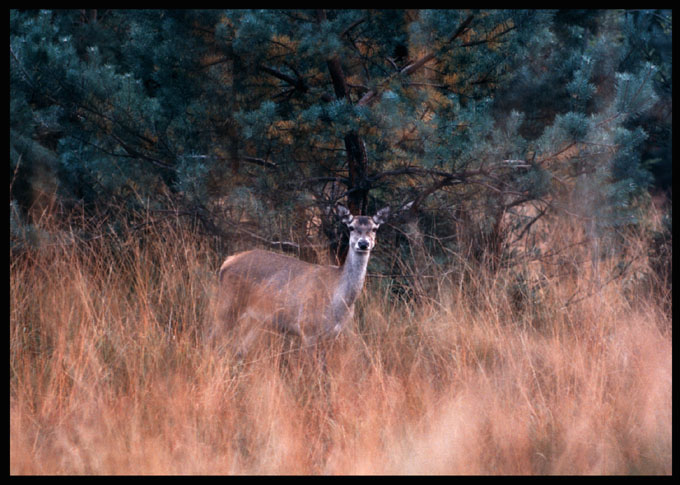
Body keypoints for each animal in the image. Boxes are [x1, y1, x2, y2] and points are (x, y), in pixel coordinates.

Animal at [210, 202, 394, 362]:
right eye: (351, 227)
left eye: (375, 228)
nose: (363, 244)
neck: (338, 300)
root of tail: (226, 262)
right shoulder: (307, 329)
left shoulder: (333, 334)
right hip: (227, 305)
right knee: (213, 341)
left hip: (257, 319)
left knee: (239, 349)